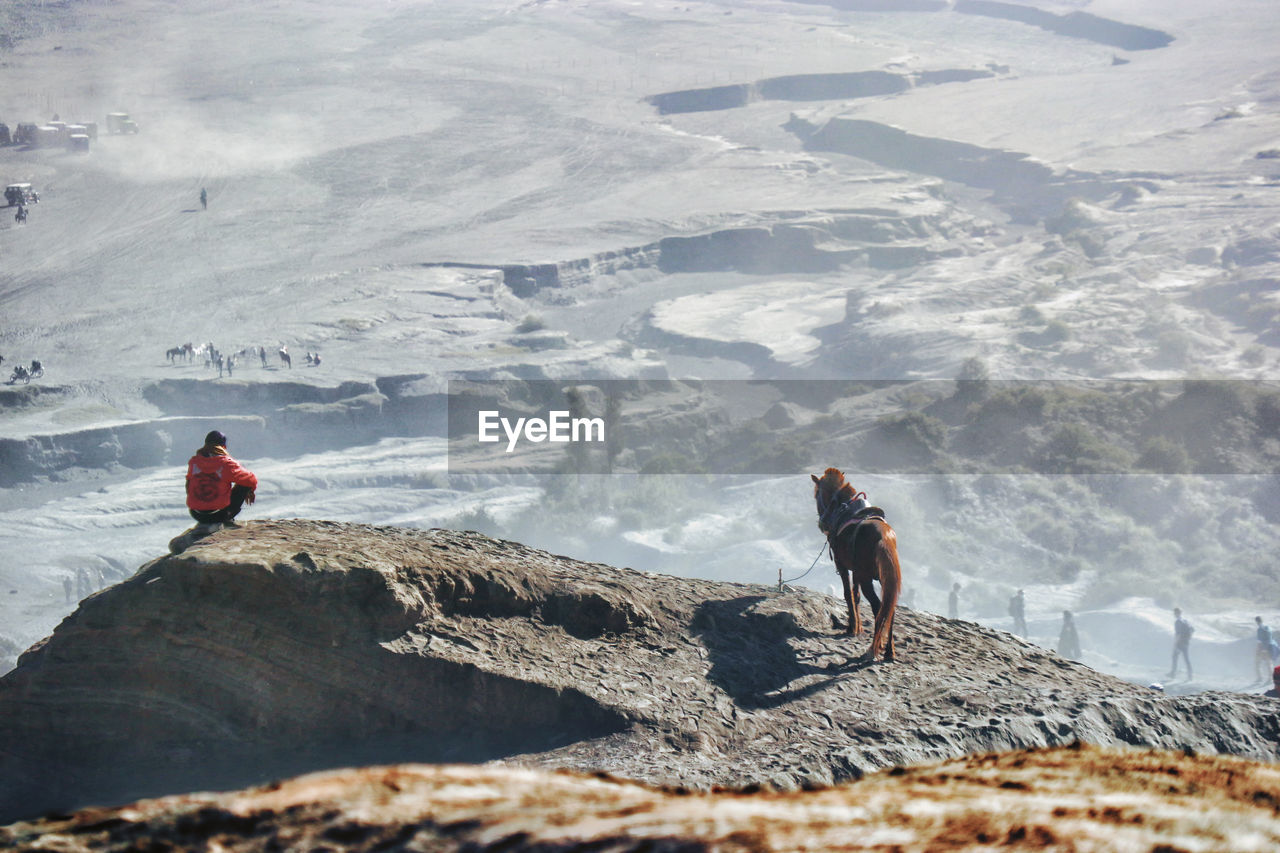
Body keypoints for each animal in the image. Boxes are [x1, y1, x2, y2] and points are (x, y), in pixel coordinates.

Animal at [808, 468, 901, 660]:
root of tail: (884, 537)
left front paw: (852, 627)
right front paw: (858, 627)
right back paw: (889, 650)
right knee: (890, 609)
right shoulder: (857, 572)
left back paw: (874, 648)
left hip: (868, 580)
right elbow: (855, 595)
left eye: (817, 494)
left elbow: (848, 594)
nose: (822, 522)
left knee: (878, 607)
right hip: (885, 579)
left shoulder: (842, 566)